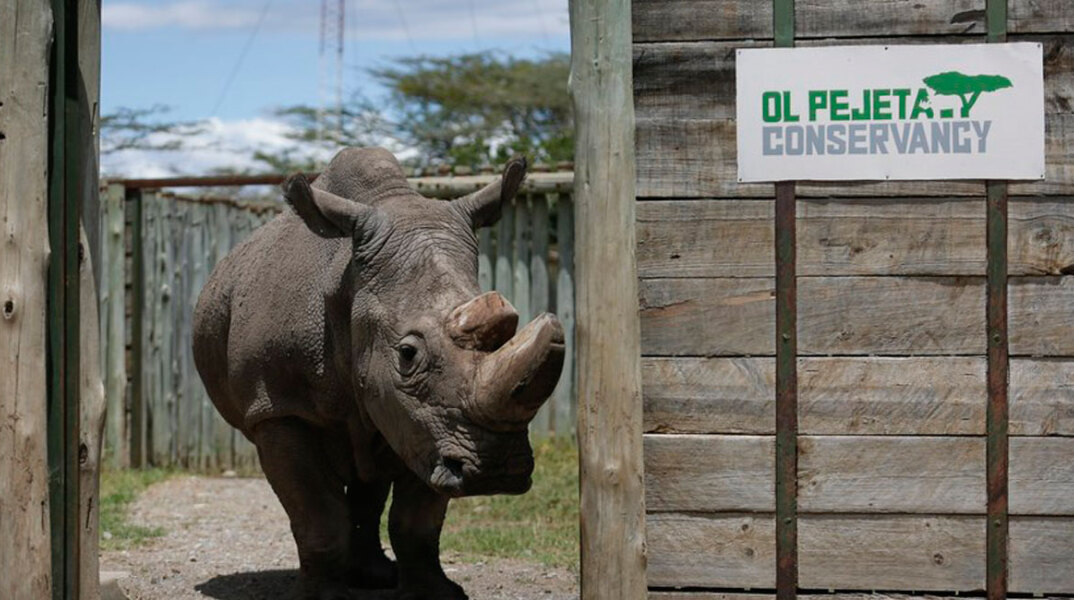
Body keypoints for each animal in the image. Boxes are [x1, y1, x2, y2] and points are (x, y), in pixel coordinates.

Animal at [192, 147, 565, 600]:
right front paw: (322, 598)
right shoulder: (279, 407)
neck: (346, 287)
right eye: (406, 354)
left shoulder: (429, 422)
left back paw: (373, 576)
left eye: (511, 331)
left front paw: (436, 593)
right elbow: (317, 514)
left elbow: (417, 518)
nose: (497, 470)